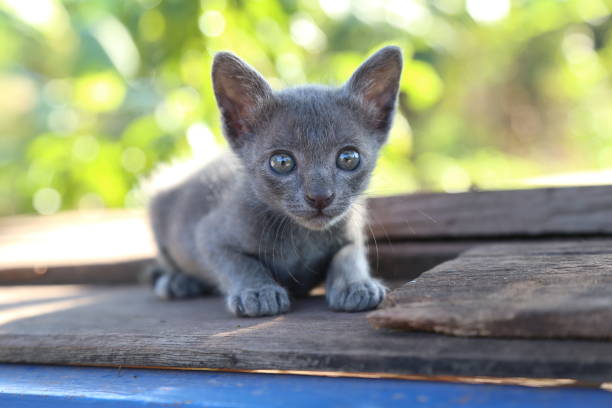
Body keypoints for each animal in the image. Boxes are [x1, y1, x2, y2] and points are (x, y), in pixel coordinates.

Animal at [146, 46, 404, 318]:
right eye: (282, 162)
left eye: (348, 158)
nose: (320, 196)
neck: (301, 237)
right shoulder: (209, 235)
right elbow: (238, 262)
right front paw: (259, 292)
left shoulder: (350, 229)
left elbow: (349, 255)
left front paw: (356, 284)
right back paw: (177, 281)